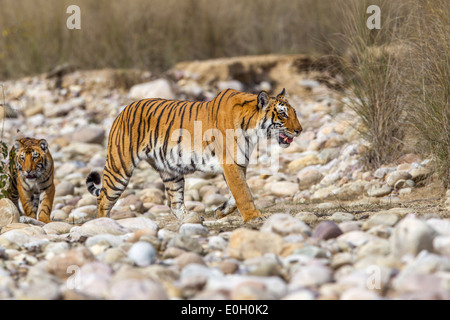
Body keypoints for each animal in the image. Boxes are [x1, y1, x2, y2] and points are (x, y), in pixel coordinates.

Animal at [86, 87, 302, 222]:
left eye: (294, 112)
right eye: (283, 114)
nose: (300, 130)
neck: (252, 128)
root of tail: (123, 110)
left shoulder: (238, 163)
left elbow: (239, 192)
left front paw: (220, 211)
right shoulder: (231, 163)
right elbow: (243, 193)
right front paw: (254, 217)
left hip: (171, 172)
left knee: (174, 203)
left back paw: (192, 218)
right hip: (119, 168)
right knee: (102, 200)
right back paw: (103, 225)